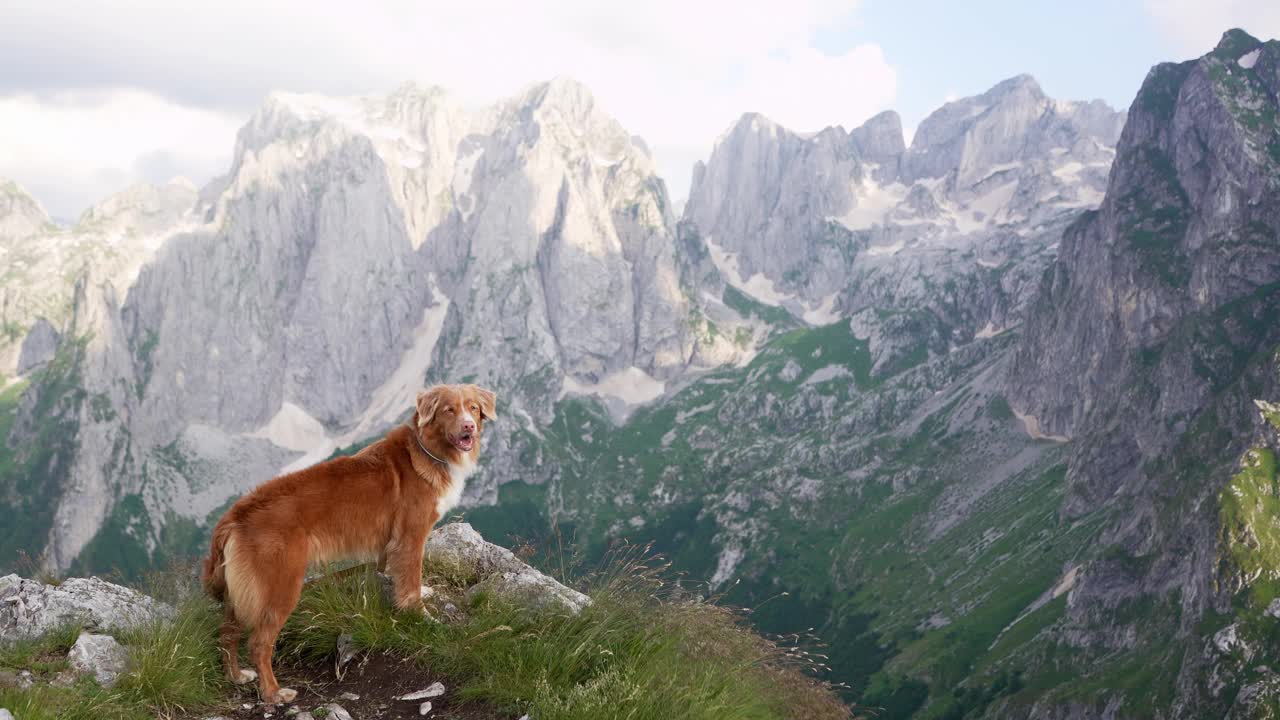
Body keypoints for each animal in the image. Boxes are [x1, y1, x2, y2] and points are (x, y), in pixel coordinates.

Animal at [202, 381, 496, 702]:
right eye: (449, 410)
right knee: (258, 642)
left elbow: (393, 574)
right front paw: (422, 616)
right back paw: (273, 693)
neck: (427, 450)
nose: (469, 427)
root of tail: (236, 515)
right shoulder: (411, 537)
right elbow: (411, 583)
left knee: (227, 632)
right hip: (280, 587)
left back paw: (236, 676)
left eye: (473, 408)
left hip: (242, 592)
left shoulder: (391, 544)